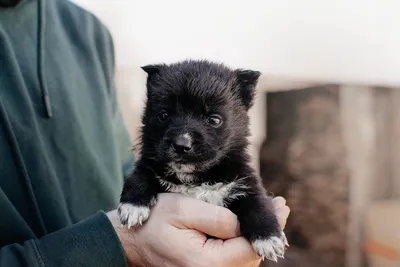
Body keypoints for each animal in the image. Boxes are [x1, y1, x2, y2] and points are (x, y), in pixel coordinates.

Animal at [118, 59, 288, 262]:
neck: (196, 178)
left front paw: (268, 238)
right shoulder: (149, 163)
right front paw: (133, 206)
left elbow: (258, 204)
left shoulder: (245, 181)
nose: (181, 144)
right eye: (164, 115)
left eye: (214, 120)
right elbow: (140, 174)